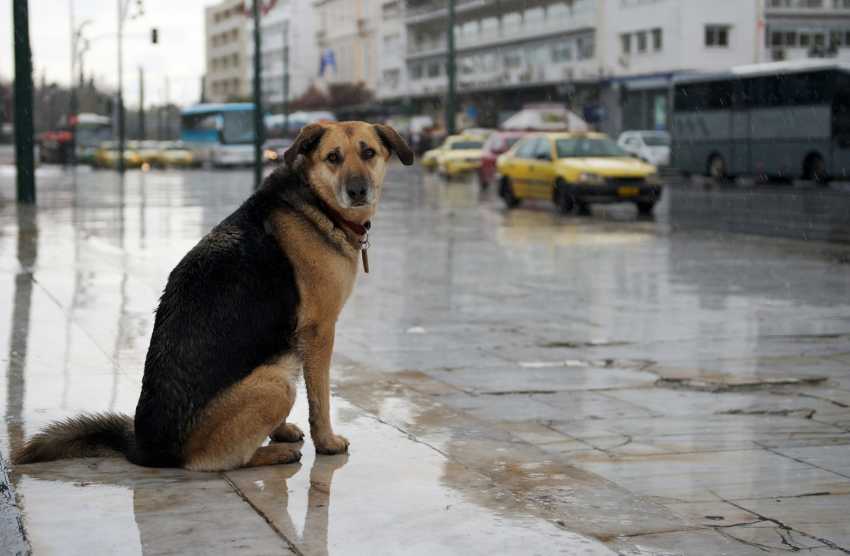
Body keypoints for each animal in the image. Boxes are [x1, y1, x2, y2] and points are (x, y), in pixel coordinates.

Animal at [11, 120, 412, 470]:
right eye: (333, 157)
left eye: (369, 152)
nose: (358, 191)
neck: (315, 202)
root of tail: (147, 448)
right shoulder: (319, 332)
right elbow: (320, 398)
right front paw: (326, 442)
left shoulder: (291, 339)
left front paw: (281, 431)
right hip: (275, 382)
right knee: (216, 462)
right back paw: (272, 455)